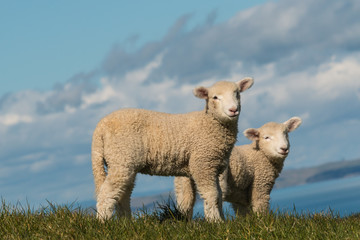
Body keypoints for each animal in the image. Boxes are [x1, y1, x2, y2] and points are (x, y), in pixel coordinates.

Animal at [91, 78, 255, 222]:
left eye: (237, 94)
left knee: (123, 194)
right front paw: (216, 222)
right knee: (107, 193)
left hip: (123, 162)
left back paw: (126, 222)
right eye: (215, 97)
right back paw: (104, 222)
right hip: (121, 158)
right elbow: (212, 195)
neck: (210, 123)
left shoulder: (214, 167)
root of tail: (100, 127)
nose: (233, 110)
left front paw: (220, 219)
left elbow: (219, 196)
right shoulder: (203, 164)